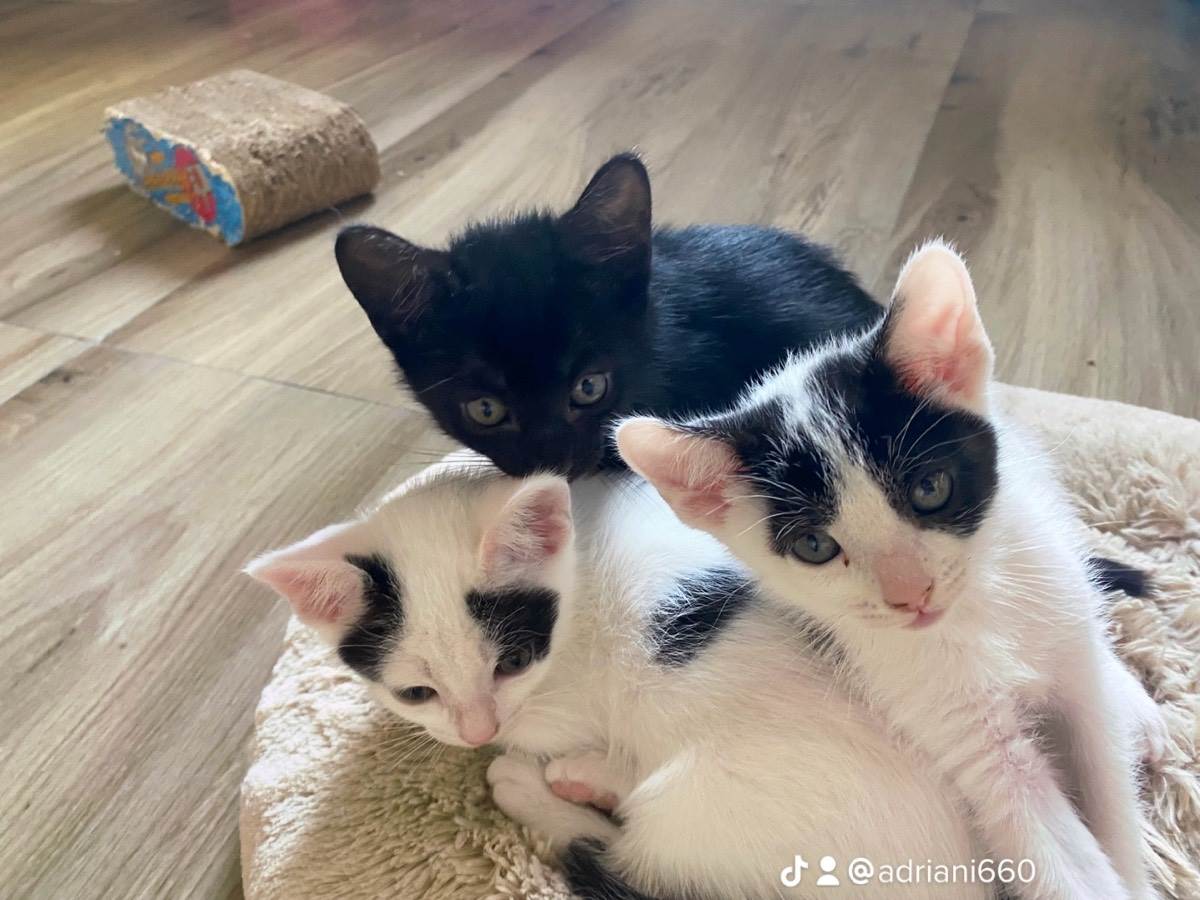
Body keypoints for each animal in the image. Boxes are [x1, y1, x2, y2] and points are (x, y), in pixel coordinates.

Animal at [247, 454, 993, 899]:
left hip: (711, 805)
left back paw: (544, 784)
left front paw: (538, 760)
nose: (478, 728)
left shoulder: (562, 702)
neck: (577, 576)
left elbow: (548, 732)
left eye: (511, 663)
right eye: (416, 692)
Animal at [616, 240, 1169, 900]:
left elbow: (1110, 790)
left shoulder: (1073, 675)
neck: (979, 613)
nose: (912, 594)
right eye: (814, 546)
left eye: (929, 489)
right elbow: (1049, 843)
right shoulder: (952, 725)